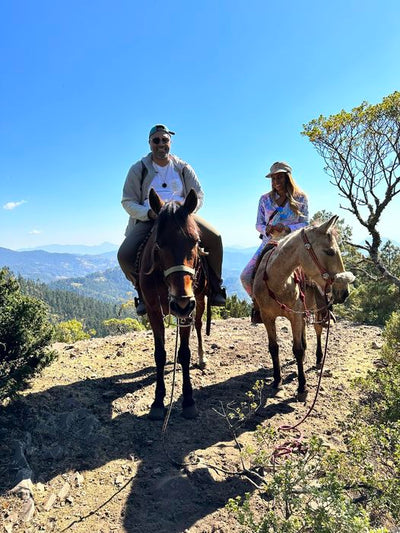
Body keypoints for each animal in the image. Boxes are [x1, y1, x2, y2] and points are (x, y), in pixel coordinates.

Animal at [140, 188, 208, 420]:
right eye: (159, 244)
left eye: (195, 241)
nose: (181, 303)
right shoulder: (153, 310)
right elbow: (160, 354)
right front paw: (158, 401)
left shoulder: (189, 310)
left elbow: (185, 353)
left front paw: (188, 400)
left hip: (201, 300)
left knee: (199, 325)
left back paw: (202, 357)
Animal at [253, 214, 354, 396]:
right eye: (329, 251)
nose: (344, 292)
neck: (278, 282)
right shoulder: (267, 317)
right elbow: (274, 347)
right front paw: (277, 380)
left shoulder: (295, 316)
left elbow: (297, 350)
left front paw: (302, 386)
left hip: (315, 310)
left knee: (318, 330)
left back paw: (319, 358)